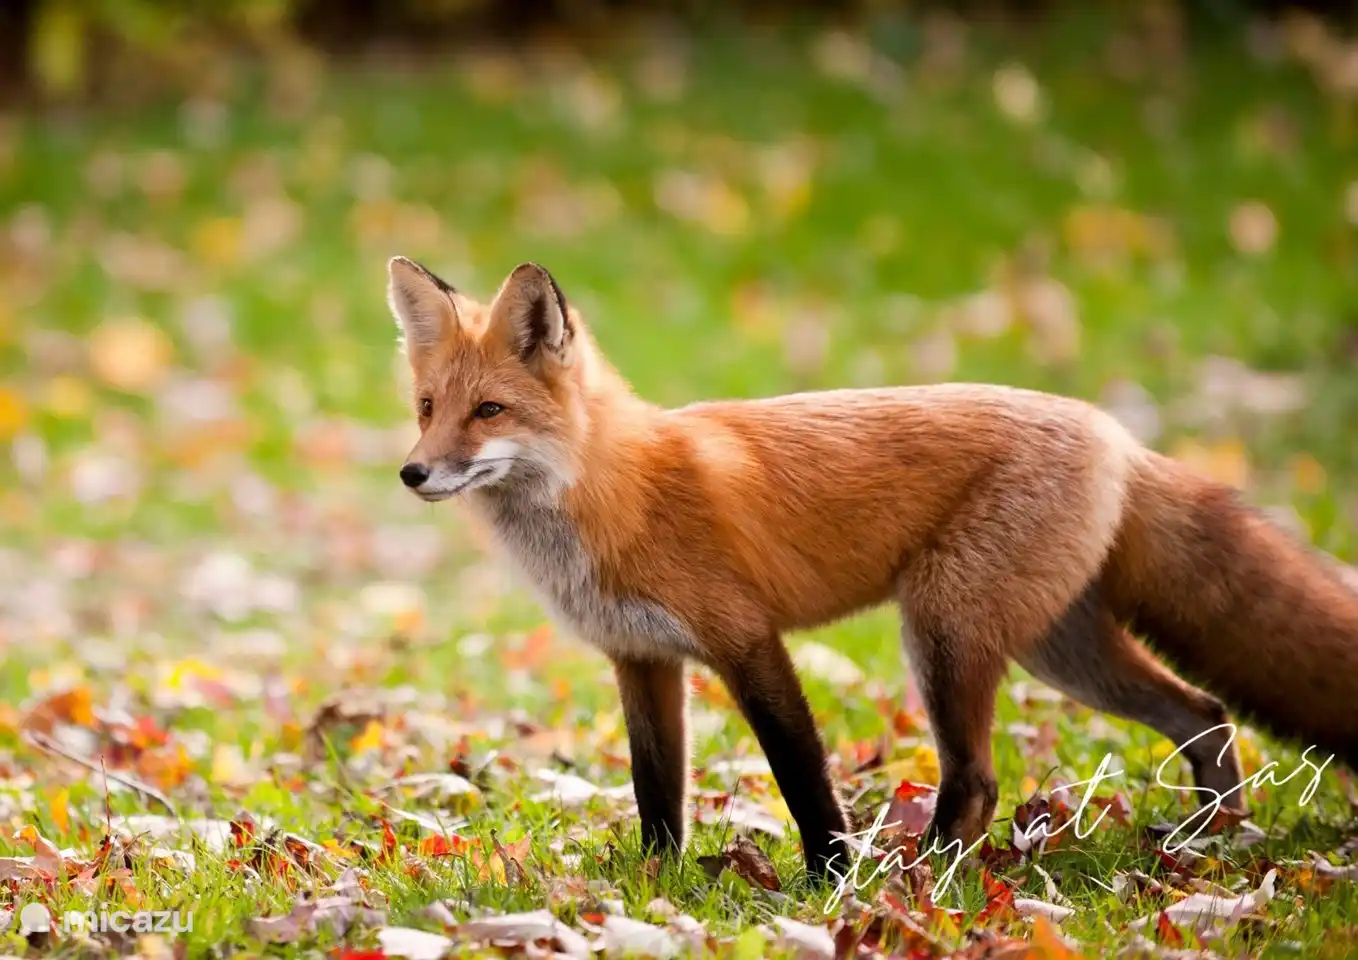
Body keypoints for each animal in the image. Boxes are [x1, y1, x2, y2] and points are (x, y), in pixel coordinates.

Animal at [387, 255, 1358, 882]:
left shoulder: (746, 640)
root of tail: (1113, 431)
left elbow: (801, 775)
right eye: (428, 408)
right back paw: (1205, 840)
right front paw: (656, 886)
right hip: (1058, 648)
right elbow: (655, 789)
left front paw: (827, 881)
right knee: (1203, 712)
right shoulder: (642, 658)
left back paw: (922, 880)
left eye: (489, 411)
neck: (611, 491)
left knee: (980, 780)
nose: (413, 473)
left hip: (944, 632)